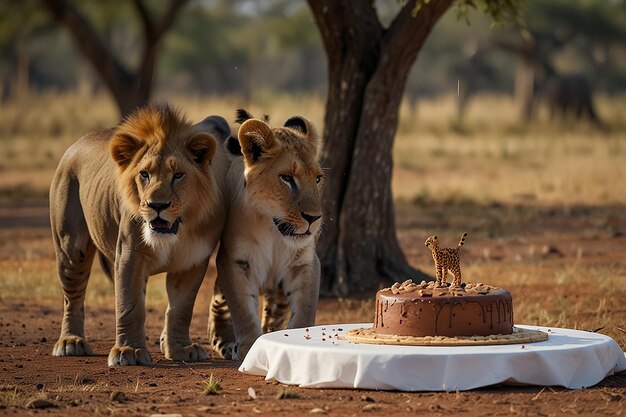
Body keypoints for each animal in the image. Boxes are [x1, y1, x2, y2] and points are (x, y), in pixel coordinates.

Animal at [49, 104, 229, 364]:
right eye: (145, 174)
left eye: (178, 175)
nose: (157, 205)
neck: (177, 230)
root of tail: (76, 144)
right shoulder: (129, 253)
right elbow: (130, 304)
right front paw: (129, 351)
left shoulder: (192, 261)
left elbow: (181, 309)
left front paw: (181, 348)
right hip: (71, 248)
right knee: (72, 297)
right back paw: (71, 342)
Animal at [208, 109, 322, 358]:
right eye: (287, 178)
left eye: (318, 179)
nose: (314, 218)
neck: (273, 231)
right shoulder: (236, 261)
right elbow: (243, 312)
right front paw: (249, 346)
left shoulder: (305, 263)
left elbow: (305, 310)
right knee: (218, 301)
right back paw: (223, 341)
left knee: (274, 311)